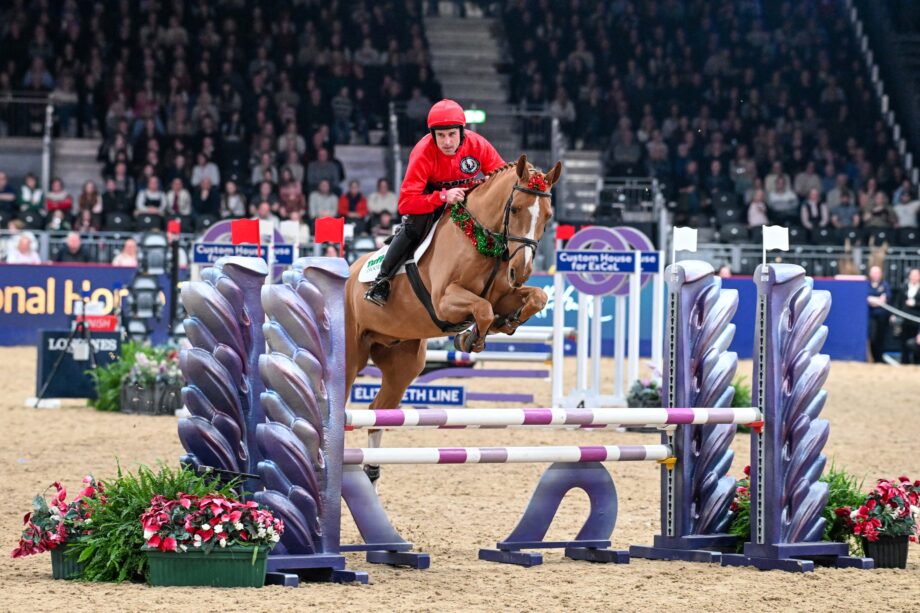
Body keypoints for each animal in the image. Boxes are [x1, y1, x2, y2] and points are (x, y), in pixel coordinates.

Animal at [344, 157, 560, 468]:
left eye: (548, 216)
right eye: (516, 208)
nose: (522, 271)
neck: (480, 239)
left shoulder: (504, 295)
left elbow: (536, 298)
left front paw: (506, 323)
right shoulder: (444, 301)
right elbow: (482, 309)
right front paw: (471, 338)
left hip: (403, 363)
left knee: (378, 412)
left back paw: (371, 470)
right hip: (351, 356)